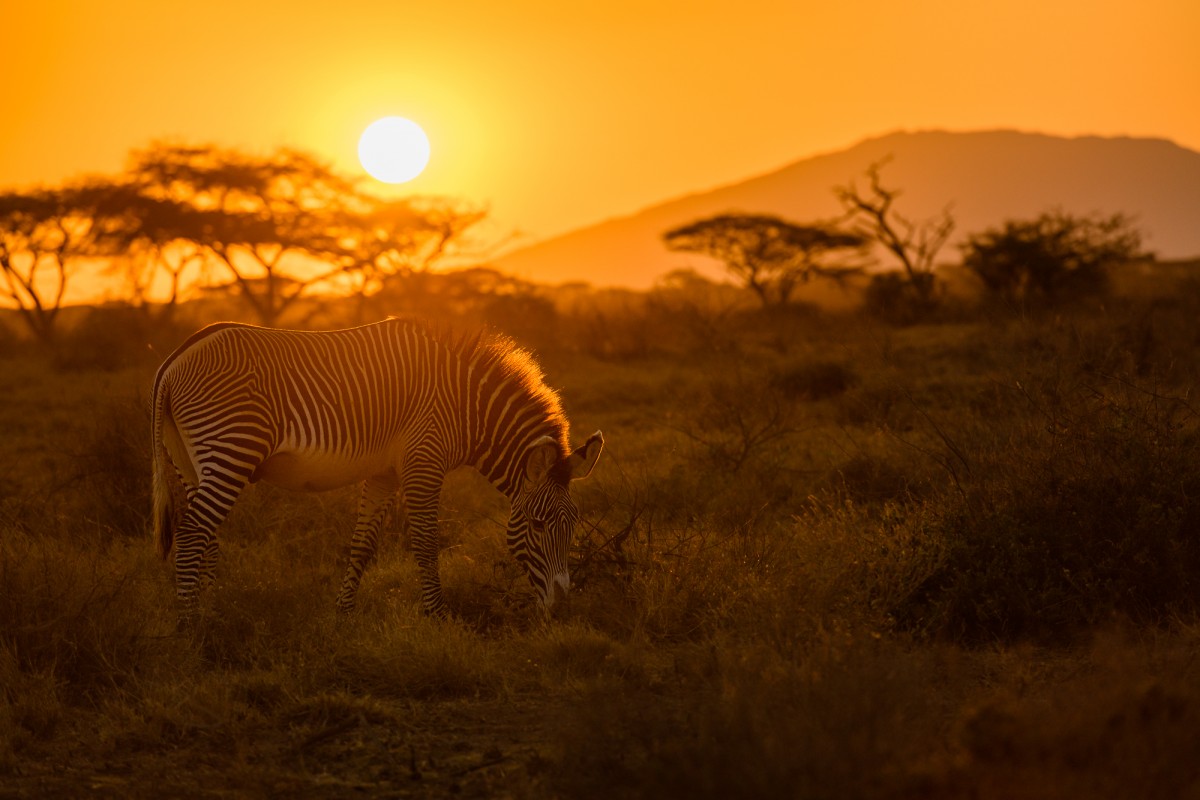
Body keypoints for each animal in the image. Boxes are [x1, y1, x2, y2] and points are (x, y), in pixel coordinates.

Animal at [150, 319, 600, 618]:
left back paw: (210, 605)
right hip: (231, 448)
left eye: (573, 524)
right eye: (538, 525)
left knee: (204, 533)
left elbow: (363, 544)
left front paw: (344, 612)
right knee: (192, 532)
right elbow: (426, 542)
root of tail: (173, 360)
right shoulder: (423, 463)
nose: (562, 607)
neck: (466, 407)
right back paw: (191, 623)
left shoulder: (385, 472)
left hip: (192, 458)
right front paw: (437, 615)